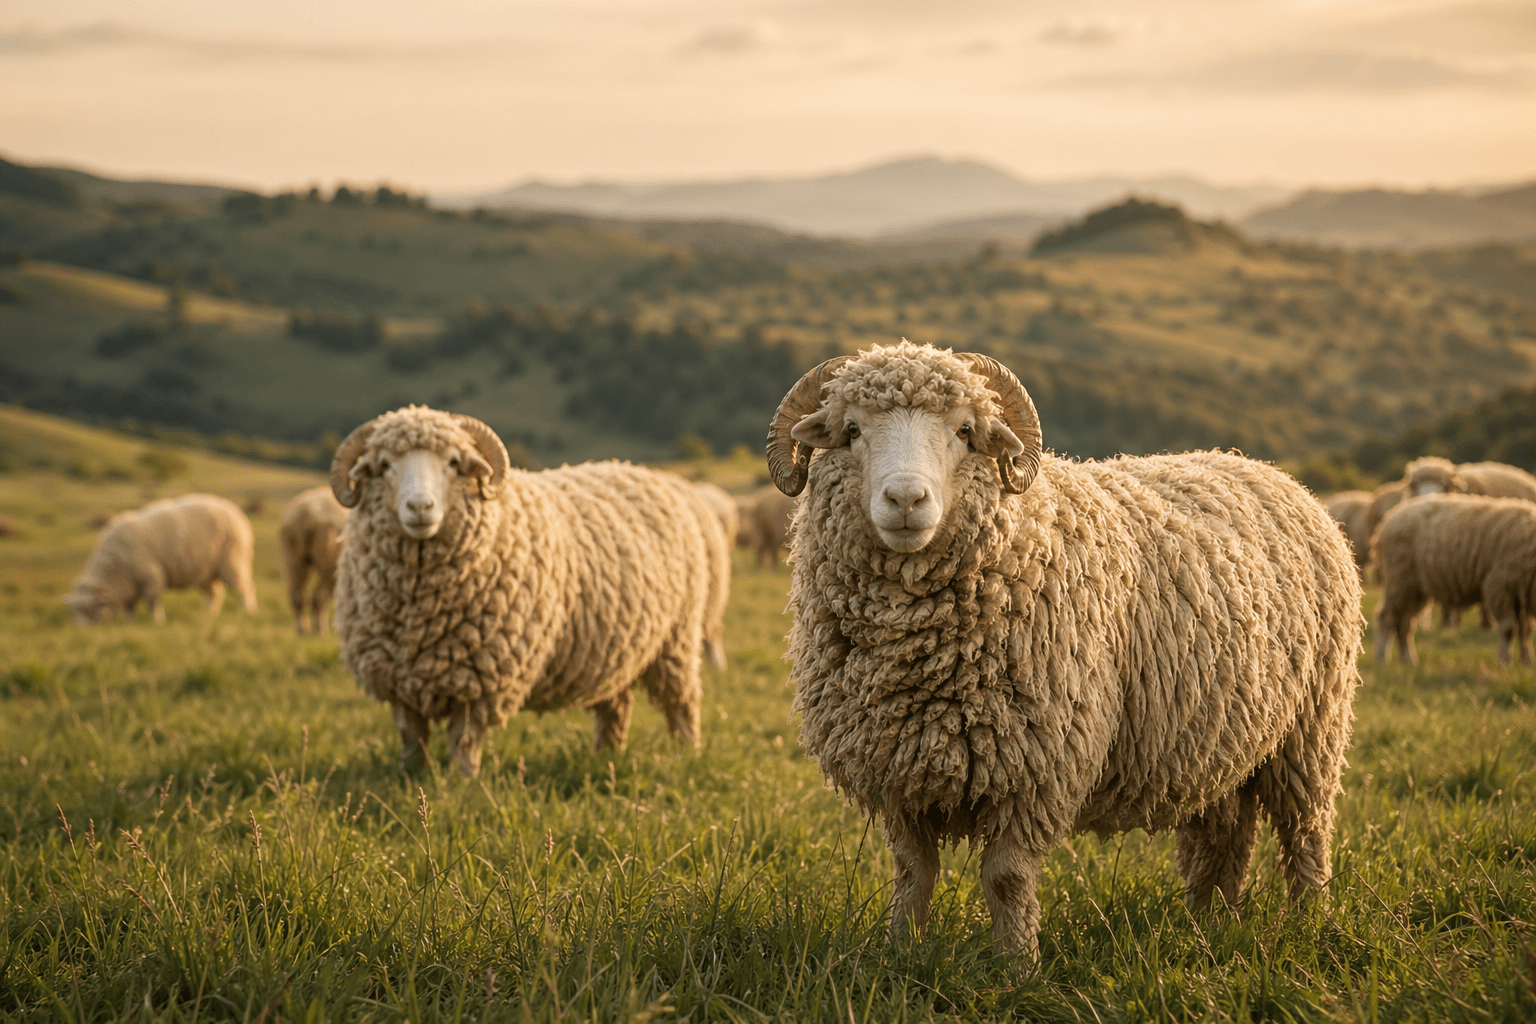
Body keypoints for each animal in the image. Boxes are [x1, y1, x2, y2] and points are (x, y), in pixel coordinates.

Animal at [64, 494, 257, 624]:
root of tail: (236, 512)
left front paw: (157, 621)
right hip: (205, 572)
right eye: (74, 611)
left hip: (232, 561)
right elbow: (130, 607)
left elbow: (152, 601)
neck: (114, 569)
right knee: (216, 593)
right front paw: (131, 623)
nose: (81, 632)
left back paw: (248, 611)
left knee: (244, 589)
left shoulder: (151, 577)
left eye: (88, 610)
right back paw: (208, 614)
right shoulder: (130, 584)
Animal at [279, 486, 350, 635]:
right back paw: (321, 629)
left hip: (293, 558)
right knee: (319, 597)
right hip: (330, 562)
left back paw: (302, 628)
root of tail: (306, 514)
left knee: (297, 596)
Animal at [330, 406, 728, 777]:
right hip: (615, 648)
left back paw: (686, 755)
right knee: (616, 704)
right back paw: (607, 757)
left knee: (682, 703)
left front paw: (462, 784)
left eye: (454, 463)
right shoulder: (397, 682)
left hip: (675, 640)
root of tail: (638, 470)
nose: (419, 507)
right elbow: (412, 739)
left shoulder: (480, 681)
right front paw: (411, 779)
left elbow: (465, 740)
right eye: (384, 465)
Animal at [766, 340, 1362, 963]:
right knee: (1223, 833)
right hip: (1219, 735)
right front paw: (900, 954)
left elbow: (1005, 878)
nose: (906, 499)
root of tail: (1263, 468)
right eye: (852, 430)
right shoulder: (899, 772)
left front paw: (1016, 967)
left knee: (1305, 835)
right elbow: (912, 875)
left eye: (964, 431)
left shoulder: (1036, 765)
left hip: (1311, 728)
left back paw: (1308, 925)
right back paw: (1211, 924)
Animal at [1373, 494, 1536, 665]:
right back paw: (1381, 658)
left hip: (1415, 589)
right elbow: (1508, 629)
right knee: (1385, 617)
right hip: (1398, 580)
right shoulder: (1499, 587)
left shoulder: (1523, 593)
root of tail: (1389, 518)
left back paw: (1408, 659)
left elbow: (1526, 631)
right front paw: (1504, 662)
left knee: (1403, 623)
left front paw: (1526, 661)